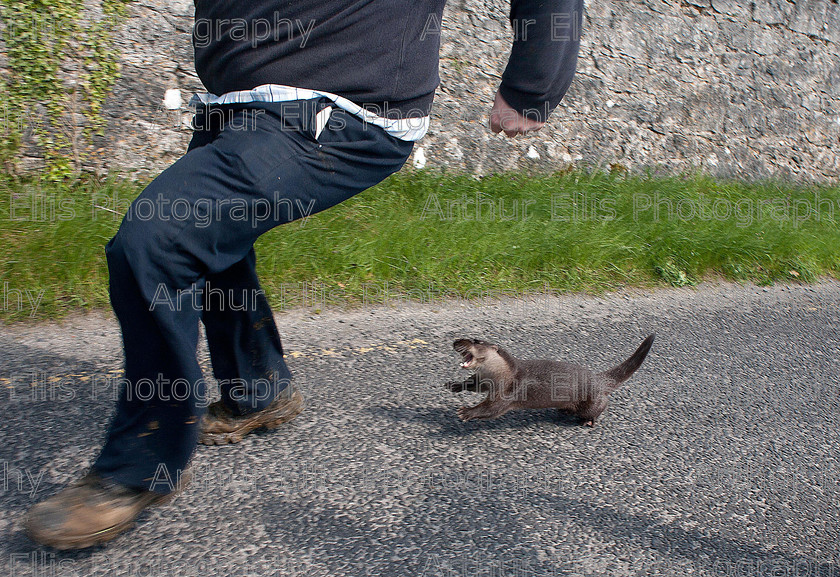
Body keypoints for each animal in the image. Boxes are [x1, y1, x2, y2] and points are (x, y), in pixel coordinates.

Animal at [446, 332, 656, 428]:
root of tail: (598, 379)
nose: (455, 341)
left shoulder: (509, 391)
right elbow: (473, 384)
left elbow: (491, 409)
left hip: (593, 400)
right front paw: (454, 385)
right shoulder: (483, 379)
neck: (499, 374)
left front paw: (467, 412)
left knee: (601, 407)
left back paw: (587, 421)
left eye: (476, 341)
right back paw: (563, 410)